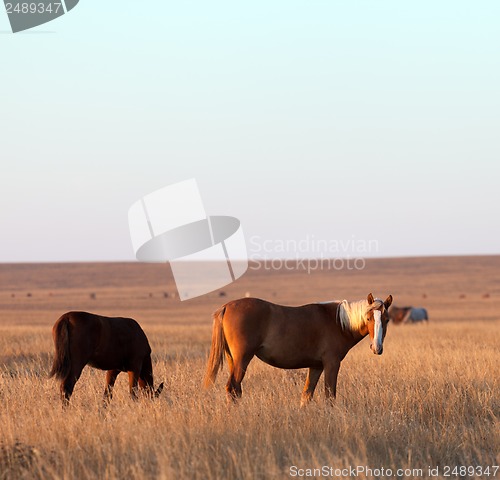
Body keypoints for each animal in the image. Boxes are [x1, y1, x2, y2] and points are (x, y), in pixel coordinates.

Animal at [205, 292, 392, 404]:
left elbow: (306, 395)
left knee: (235, 390)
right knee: (232, 388)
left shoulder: (316, 366)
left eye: (387, 319)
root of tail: (227, 306)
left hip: (233, 360)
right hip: (242, 359)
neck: (338, 322)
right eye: (368, 318)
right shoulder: (332, 364)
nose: (377, 347)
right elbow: (330, 396)